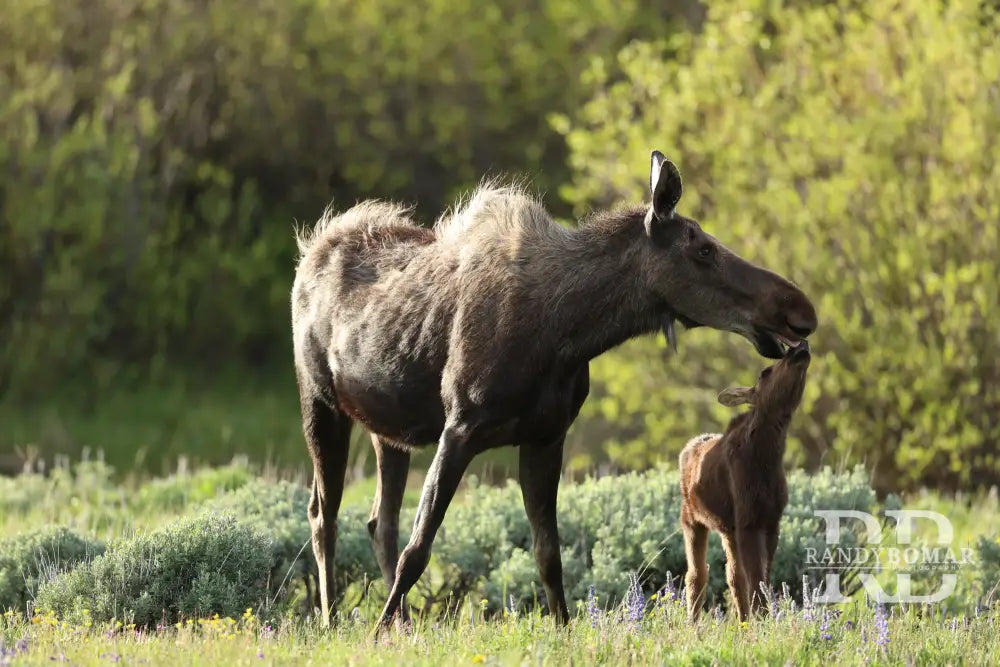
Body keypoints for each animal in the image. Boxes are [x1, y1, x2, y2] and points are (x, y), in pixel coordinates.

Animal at [680, 342, 812, 624]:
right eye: (765, 372)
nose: (800, 347)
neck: (766, 456)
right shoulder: (749, 521)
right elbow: (756, 579)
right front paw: (763, 620)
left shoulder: (770, 520)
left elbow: (763, 578)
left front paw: (763, 619)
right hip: (692, 519)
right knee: (697, 574)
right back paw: (693, 625)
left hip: (728, 528)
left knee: (732, 574)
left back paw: (742, 621)